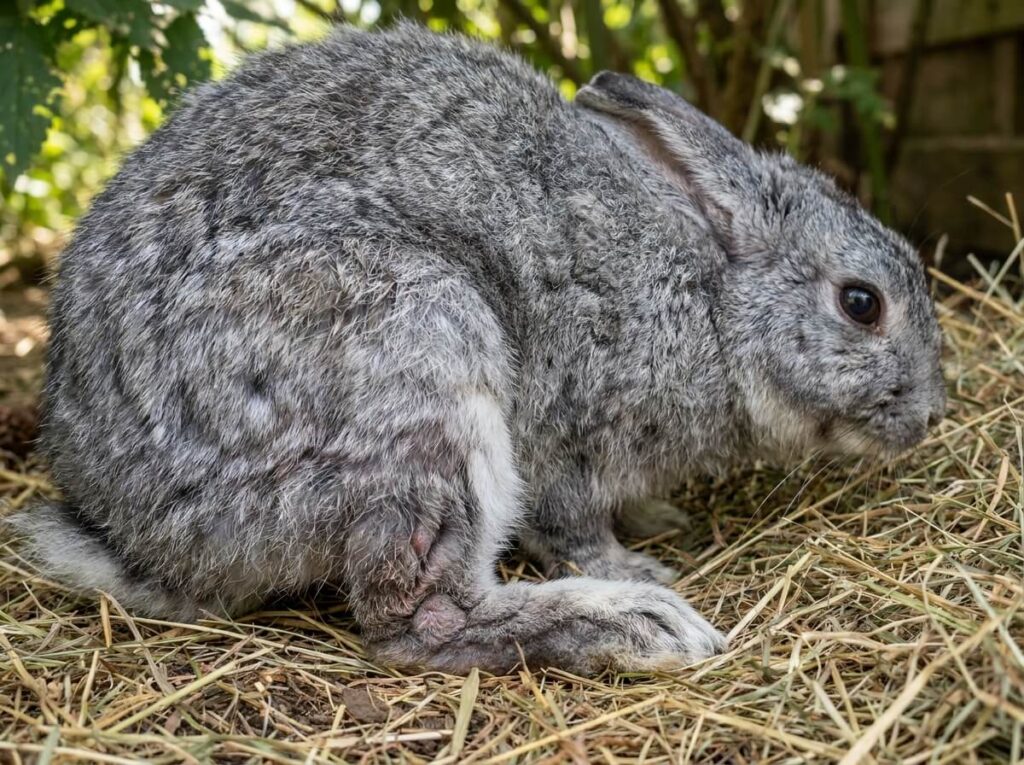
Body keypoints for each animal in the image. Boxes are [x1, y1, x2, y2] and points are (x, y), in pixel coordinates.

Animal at [7, 23, 945, 676]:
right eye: (862, 303)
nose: (931, 413)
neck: (713, 300)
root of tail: (134, 530)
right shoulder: (573, 426)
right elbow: (571, 520)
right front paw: (639, 561)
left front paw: (661, 518)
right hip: (414, 356)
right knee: (419, 623)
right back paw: (632, 623)